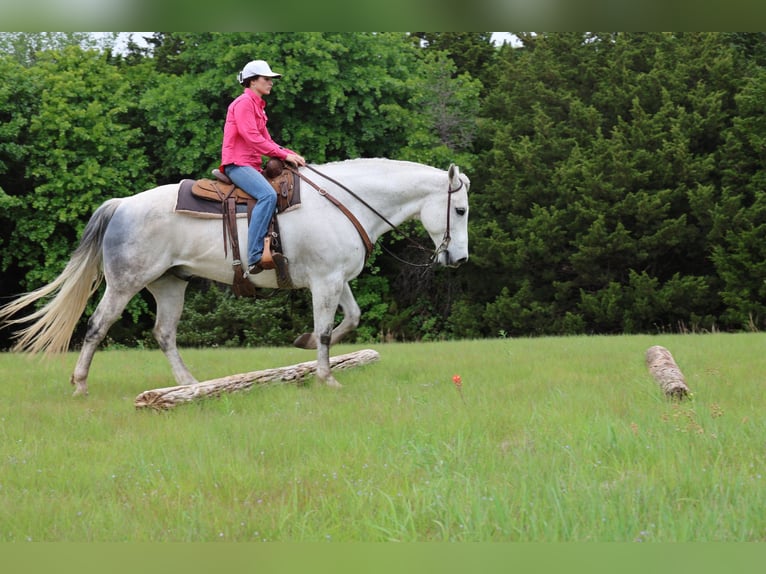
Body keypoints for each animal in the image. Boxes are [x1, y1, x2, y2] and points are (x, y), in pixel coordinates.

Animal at [0, 158, 470, 396]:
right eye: (461, 209)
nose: (460, 259)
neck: (341, 202)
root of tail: (122, 205)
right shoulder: (324, 282)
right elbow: (324, 330)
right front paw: (326, 377)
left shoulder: (338, 279)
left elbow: (349, 320)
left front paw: (304, 347)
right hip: (124, 283)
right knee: (98, 327)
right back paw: (80, 385)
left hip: (170, 284)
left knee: (164, 333)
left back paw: (190, 385)